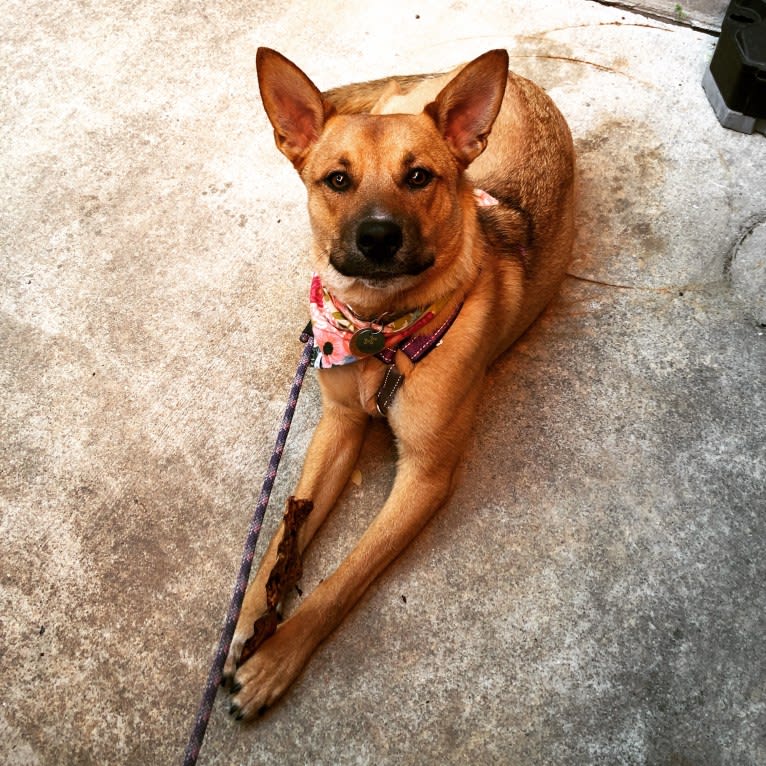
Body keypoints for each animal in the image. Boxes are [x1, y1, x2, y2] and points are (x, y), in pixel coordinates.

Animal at [225, 46, 572, 720]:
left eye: (418, 177)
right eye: (337, 180)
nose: (378, 237)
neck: (375, 332)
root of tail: (521, 80)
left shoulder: (424, 478)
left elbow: (342, 580)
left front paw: (275, 659)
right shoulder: (338, 427)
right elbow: (282, 532)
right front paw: (251, 615)